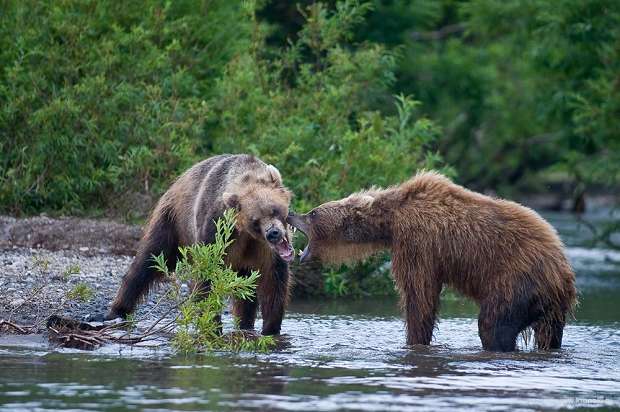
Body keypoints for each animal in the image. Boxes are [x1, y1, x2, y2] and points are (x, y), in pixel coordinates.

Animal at [107, 154, 296, 334]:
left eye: (274, 210)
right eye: (255, 221)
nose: (273, 233)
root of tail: (179, 179)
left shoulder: (263, 250)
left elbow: (273, 280)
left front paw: (271, 328)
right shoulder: (217, 230)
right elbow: (207, 277)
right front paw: (212, 326)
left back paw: (245, 325)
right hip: (172, 222)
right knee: (148, 261)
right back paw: (117, 311)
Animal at [288, 171, 580, 350]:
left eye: (312, 213)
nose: (291, 212)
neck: (390, 221)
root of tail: (563, 271)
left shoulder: (418, 242)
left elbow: (419, 296)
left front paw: (414, 340)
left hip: (517, 282)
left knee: (494, 325)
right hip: (551, 308)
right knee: (549, 334)